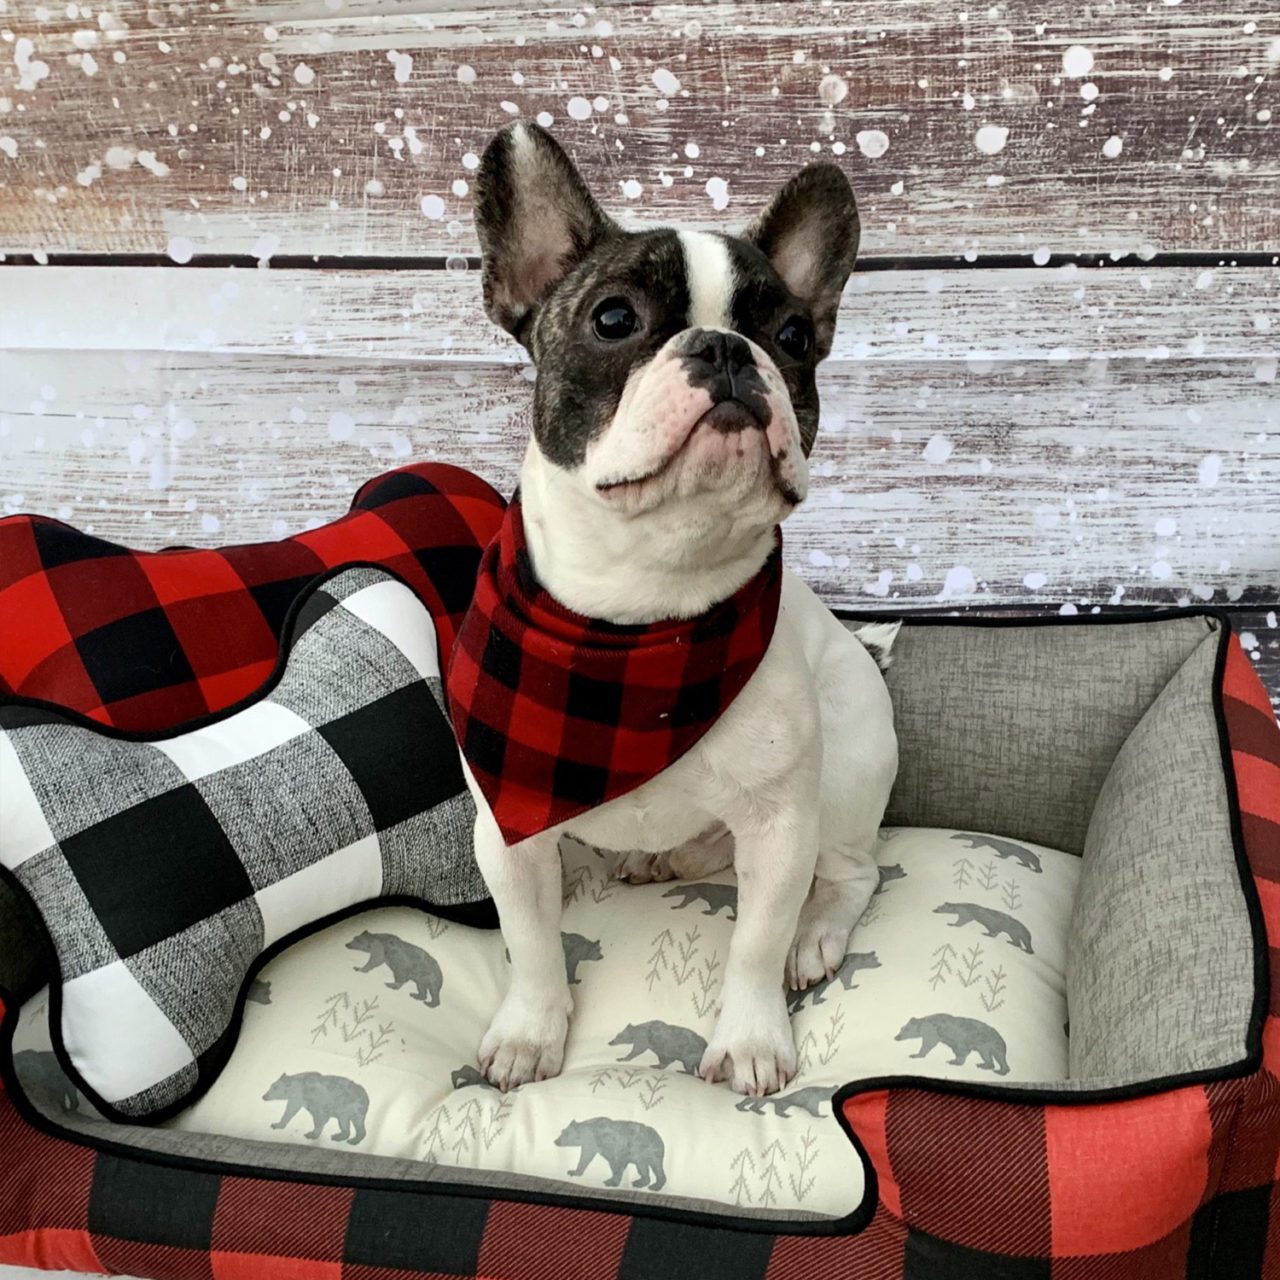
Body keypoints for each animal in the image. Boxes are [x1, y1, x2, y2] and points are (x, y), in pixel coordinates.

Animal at [465, 122, 896, 1100]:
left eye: (793, 335)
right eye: (613, 319)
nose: (728, 350)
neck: (646, 610)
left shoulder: (779, 828)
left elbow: (754, 943)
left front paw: (752, 1041)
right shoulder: (506, 831)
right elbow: (530, 941)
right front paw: (531, 1031)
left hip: (845, 778)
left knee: (851, 875)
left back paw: (816, 937)